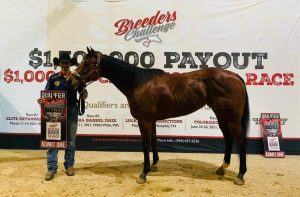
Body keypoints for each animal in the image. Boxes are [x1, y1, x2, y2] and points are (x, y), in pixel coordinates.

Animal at [69, 47, 250, 185]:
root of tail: (235, 76)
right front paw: (154, 165)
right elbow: (154, 140)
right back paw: (221, 168)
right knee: (228, 139)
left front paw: (143, 174)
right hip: (221, 116)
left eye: (87, 63)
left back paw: (240, 176)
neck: (138, 83)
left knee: (240, 141)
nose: (71, 81)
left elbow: (145, 145)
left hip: (232, 119)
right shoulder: (152, 121)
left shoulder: (144, 121)